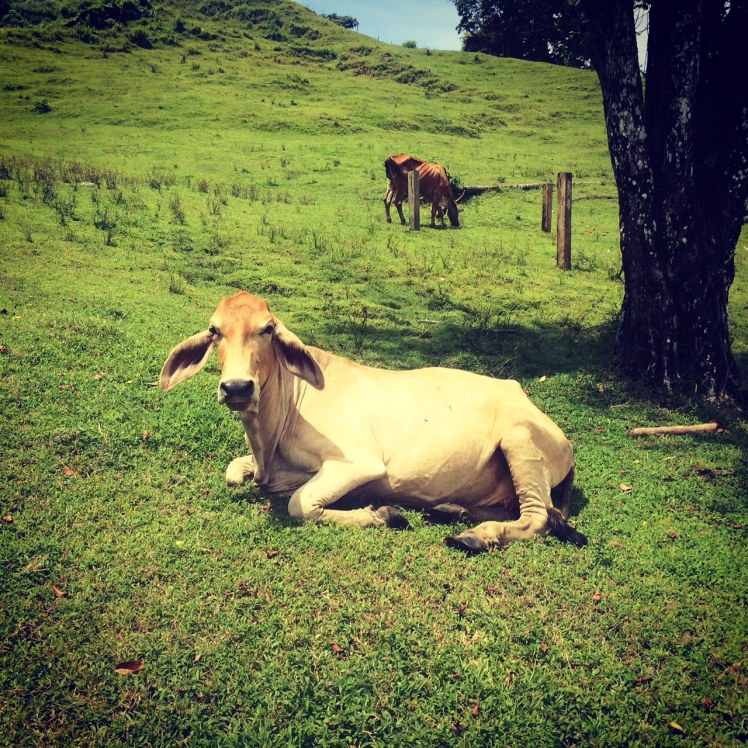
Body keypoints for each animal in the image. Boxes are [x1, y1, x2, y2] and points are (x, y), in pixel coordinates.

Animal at [159, 291, 587, 552]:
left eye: (267, 329)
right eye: (215, 330)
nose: (237, 387)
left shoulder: (358, 463)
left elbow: (302, 504)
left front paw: (382, 514)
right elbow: (234, 471)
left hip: (520, 442)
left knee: (536, 518)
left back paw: (475, 536)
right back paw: (451, 511)